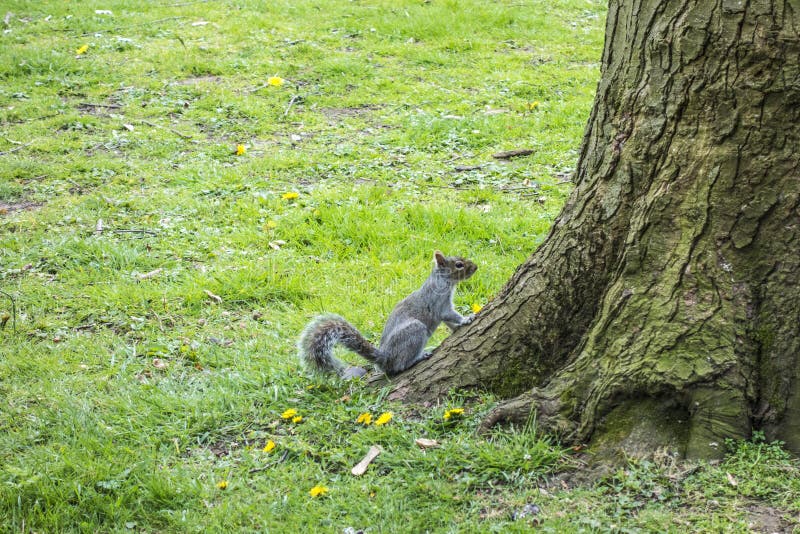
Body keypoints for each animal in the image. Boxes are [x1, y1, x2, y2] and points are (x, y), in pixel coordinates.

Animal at [298, 250, 477, 378]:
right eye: (459, 265)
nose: (475, 267)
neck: (444, 281)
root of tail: (385, 359)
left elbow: (449, 322)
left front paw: (456, 328)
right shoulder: (439, 304)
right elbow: (450, 315)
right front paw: (466, 319)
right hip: (415, 331)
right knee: (400, 365)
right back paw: (419, 357)